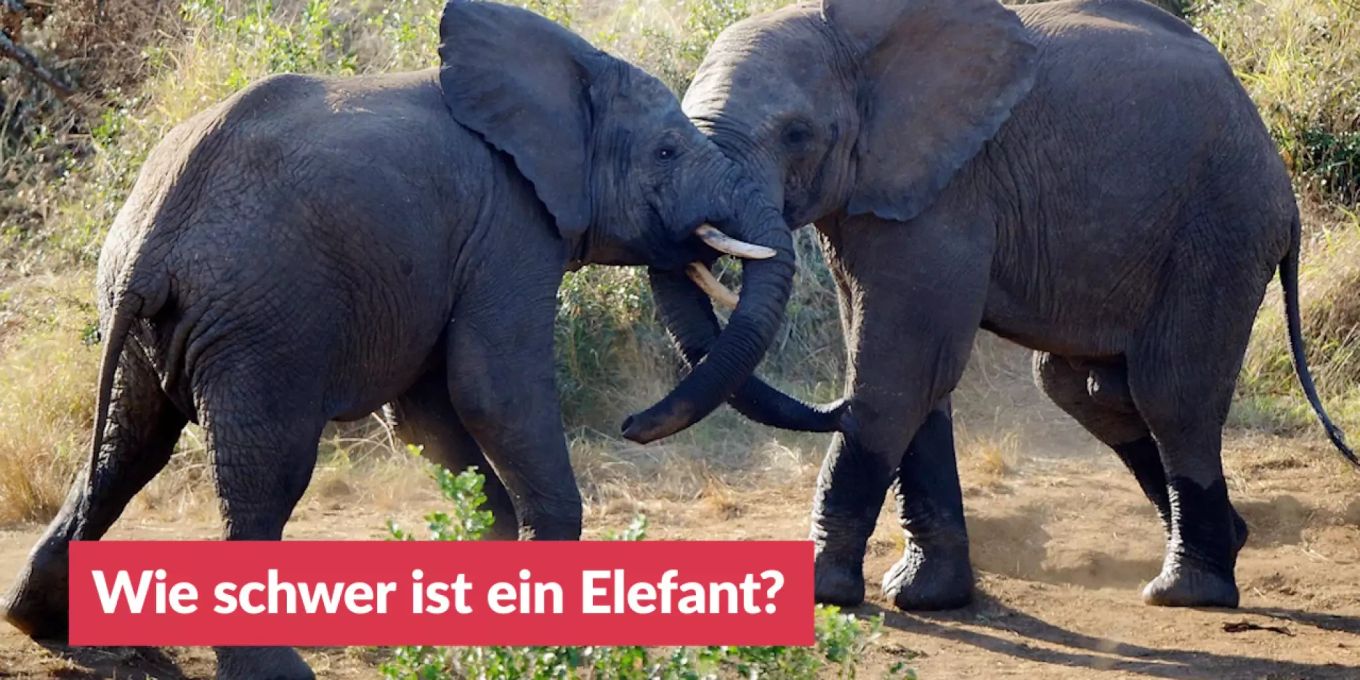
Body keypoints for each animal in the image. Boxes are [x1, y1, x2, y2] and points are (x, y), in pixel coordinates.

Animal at [0, 1, 806, 676]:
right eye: (667, 152)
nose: (632, 423)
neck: (563, 70)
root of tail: (152, 241)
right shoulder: (509, 223)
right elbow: (493, 390)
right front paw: (546, 632)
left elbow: (430, 415)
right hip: (263, 321)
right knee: (265, 473)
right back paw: (274, 670)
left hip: (144, 318)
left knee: (127, 449)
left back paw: (47, 626)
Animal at [655, 0, 1358, 612]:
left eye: (796, 133)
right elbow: (913, 373)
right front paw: (929, 597)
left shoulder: (948, 187)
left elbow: (901, 369)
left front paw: (825, 592)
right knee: (1087, 389)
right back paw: (1233, 539)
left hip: (1220, 228)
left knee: (1171, 396)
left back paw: (1185, 593)